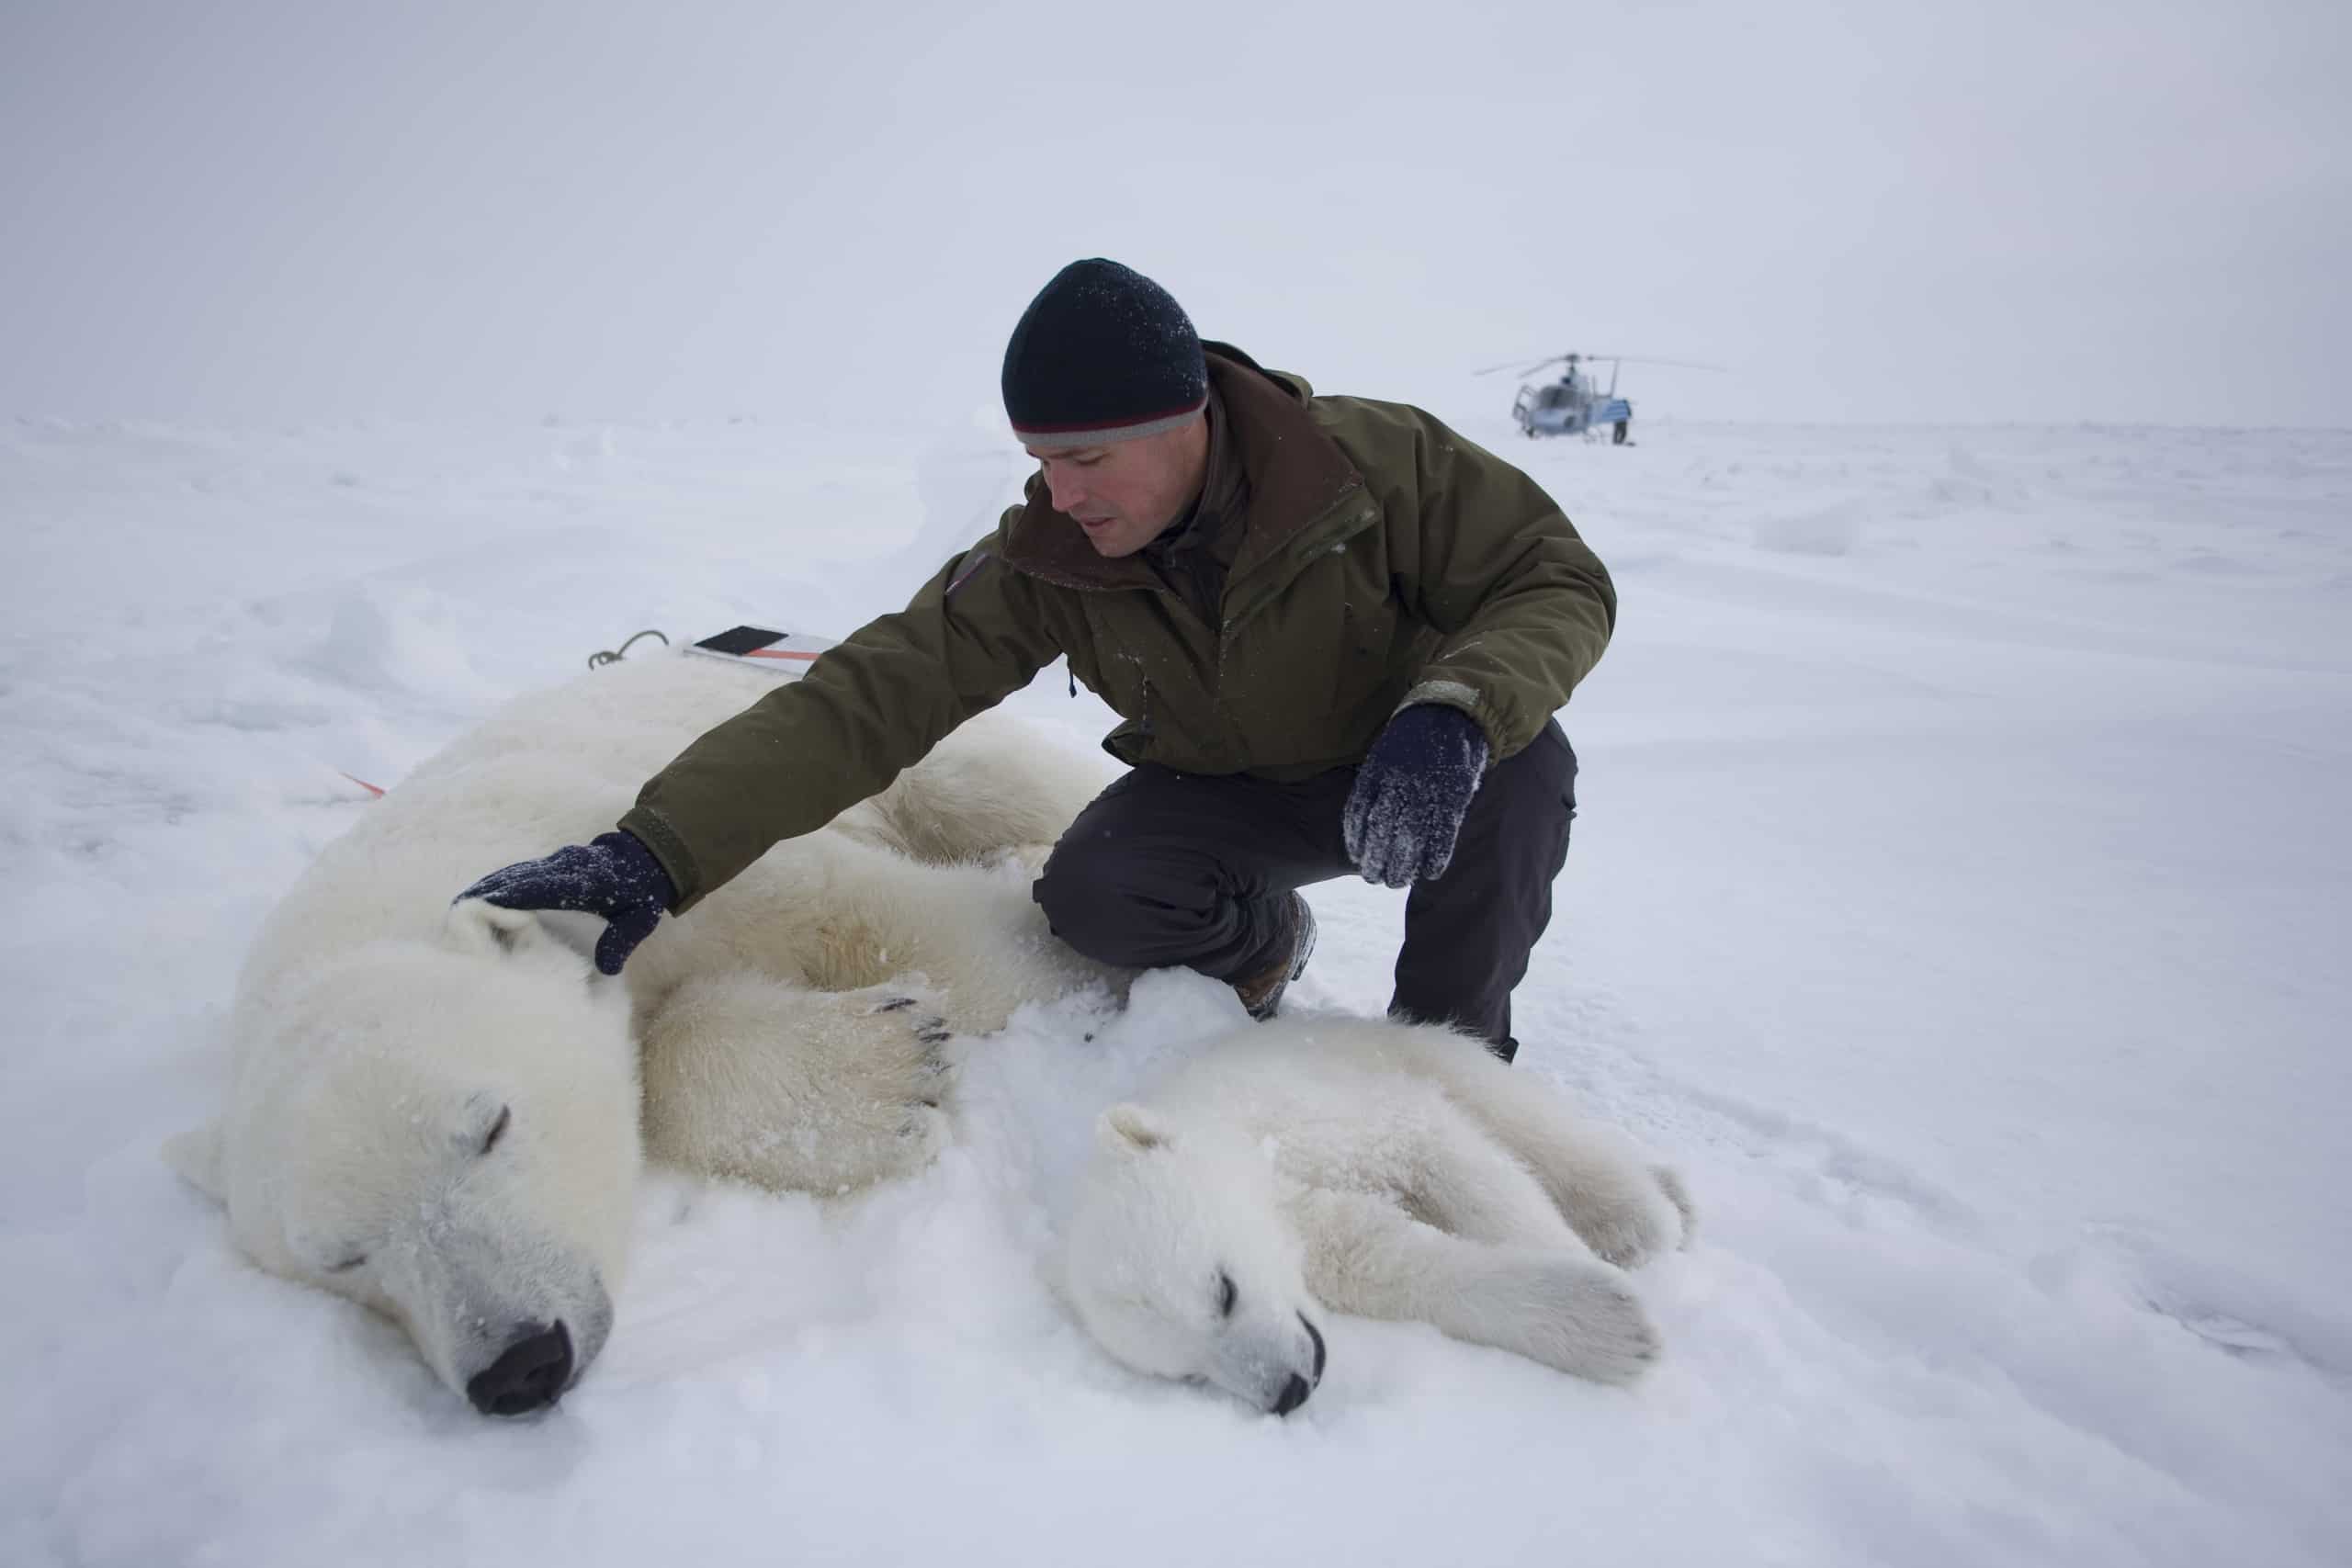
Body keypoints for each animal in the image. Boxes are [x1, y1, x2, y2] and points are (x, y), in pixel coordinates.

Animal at [165, 649, 1119, 1419]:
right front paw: (891, 1072)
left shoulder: (647, 862)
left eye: (491, 1125)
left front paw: (1051, 973)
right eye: (343, 1259)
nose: (519, 1363)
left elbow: (861, 910)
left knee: (993, 778)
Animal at [1068, 1020, 1693, 1410]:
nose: (1290, 1391)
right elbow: (1389, 1261)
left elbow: (1449, 1160)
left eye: (1223, 1291)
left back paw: (1642, 1216)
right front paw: (1610, 1329)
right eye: (1190, 1375)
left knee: (1523, 1122)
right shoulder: (1322, 1235)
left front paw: (1596, 1279)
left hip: (1405, 1052)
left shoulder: (1309, 1114)